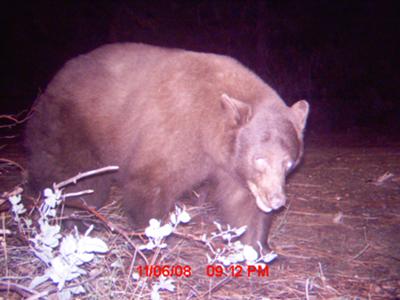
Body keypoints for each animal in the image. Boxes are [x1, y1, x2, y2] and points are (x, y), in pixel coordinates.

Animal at [25, 42, 310, 248]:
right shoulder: (175, 133)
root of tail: (57, 77)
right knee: (76, 177)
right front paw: (156, 238)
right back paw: (67, 214)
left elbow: (243, 201)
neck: (210, 123)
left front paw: (256, 247)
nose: (276, 200)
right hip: (71, 123)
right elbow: (151, 184)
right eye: (259, 159)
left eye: (288, 164)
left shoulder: (229, 163)